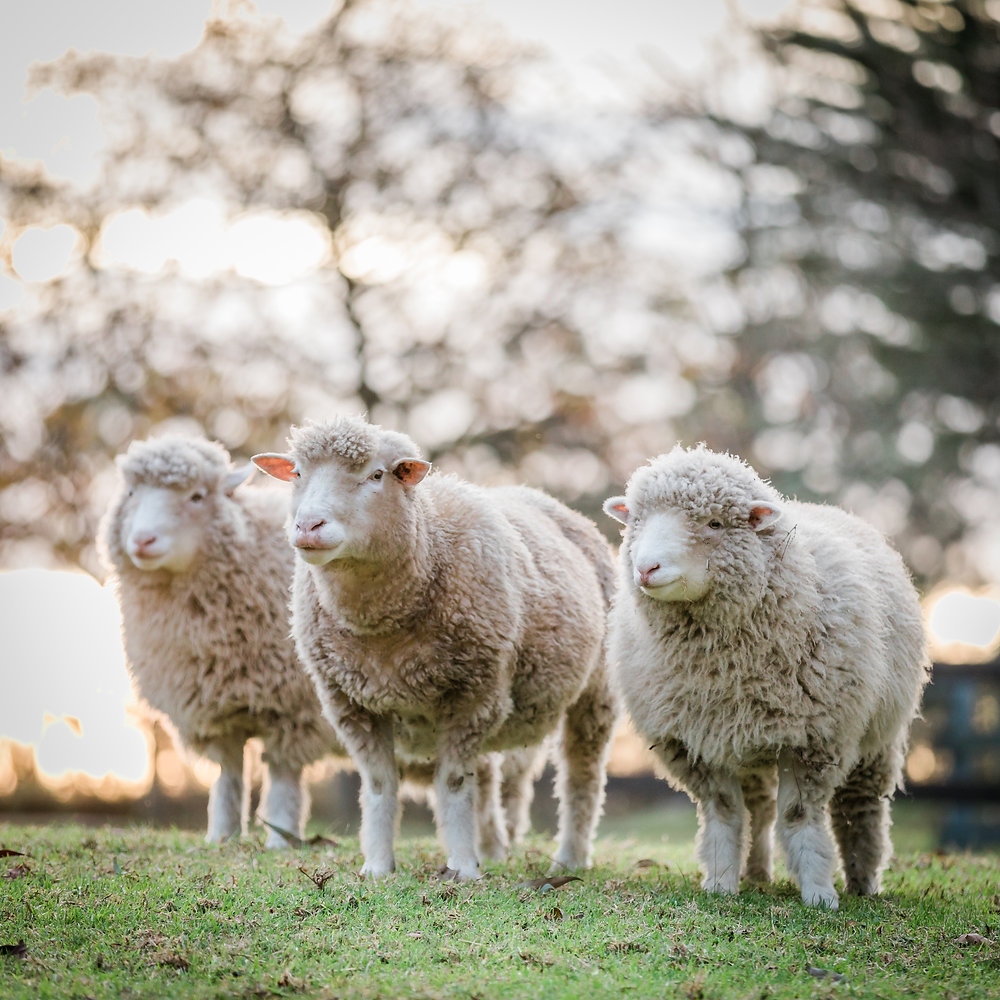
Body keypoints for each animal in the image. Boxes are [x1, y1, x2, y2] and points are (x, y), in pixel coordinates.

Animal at [99, 435, 344, 848]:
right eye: (131, 492)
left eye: (197, 496)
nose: (143, 540)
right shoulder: (215, 709)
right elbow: (228, 774)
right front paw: (221, 837)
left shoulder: (295, 708)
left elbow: (283, 776)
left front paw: (281, 839)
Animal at [252, 416, 619, 880]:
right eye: (297, 473)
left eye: (376, 475)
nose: (308, 527)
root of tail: (539, 497)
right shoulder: (350, 703)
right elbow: (380, 786)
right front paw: (378, 866)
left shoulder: (473, 695)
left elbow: (453, 784)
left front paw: (462, 868)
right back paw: (493, 849)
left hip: (596, 693)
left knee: (581, 777)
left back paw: (569, 857)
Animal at [603, 444, 928, 908]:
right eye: (636, 522)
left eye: (715, 523)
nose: (647, 568)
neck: (722, 667)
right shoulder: (696, 740)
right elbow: (724, 812)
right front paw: (720, 883)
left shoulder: (814, 740)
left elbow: (798, 815)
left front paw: (819, 894)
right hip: (746, 736)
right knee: (757, 807)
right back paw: (755, 872)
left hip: (877, 739)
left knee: (860, 807)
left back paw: (863, 883)